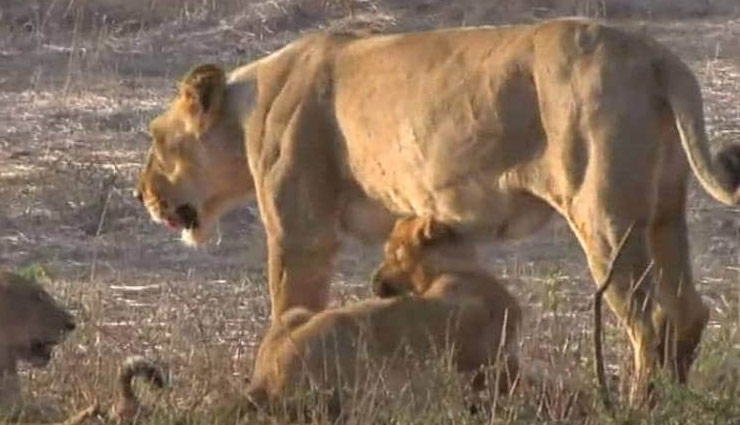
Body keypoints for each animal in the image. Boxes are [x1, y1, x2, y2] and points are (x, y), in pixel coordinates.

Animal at [135, 18, 740, 396]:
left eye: (156, 139)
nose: (142, 194)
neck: (246, 108)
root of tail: (657, 56)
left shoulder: (300, 233)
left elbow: (288, 310)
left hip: (604, 213)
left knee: (652, 319)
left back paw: (639, 406)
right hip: (665, 211)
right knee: (688, 310)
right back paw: (675, 403)